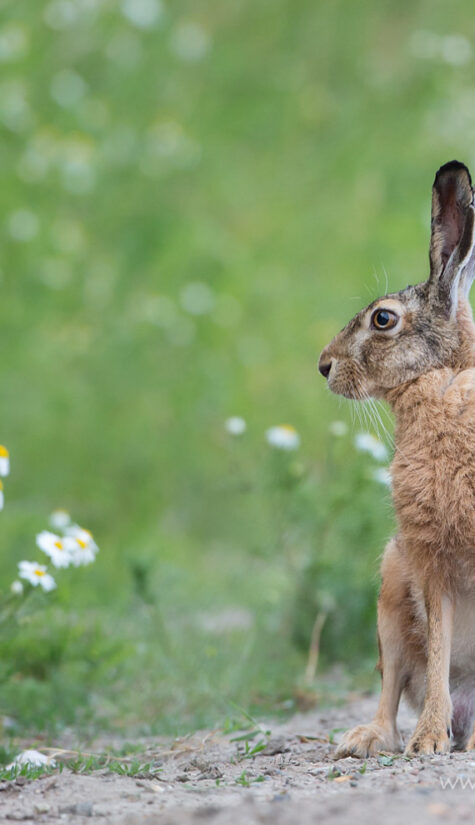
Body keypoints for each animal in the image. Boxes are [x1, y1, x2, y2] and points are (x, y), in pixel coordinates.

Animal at [318, 160, 475, 757]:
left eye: (382, 320)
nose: (324, 365)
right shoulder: (431, 560)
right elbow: (436, 654)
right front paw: (429, 740)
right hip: (389, 585)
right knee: (395, 688)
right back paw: (366, 739)